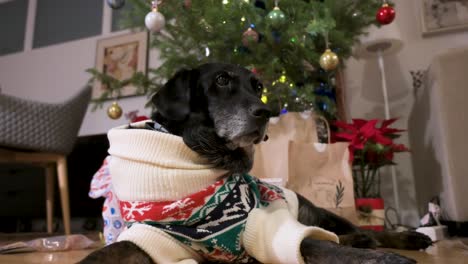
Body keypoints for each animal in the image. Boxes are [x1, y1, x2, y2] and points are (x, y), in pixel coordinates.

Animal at [81, 63, 432, 262]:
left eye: (258, 87)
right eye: (222, 80)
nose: (266, 113)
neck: (201, 156)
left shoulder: (266, 223)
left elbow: (317, 246)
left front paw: (387, 258)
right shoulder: (154, 238)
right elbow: (107, 251)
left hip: (322, 212)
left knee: (346, 230)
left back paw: (402, 237)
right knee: (331, 233)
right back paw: (363, 240)